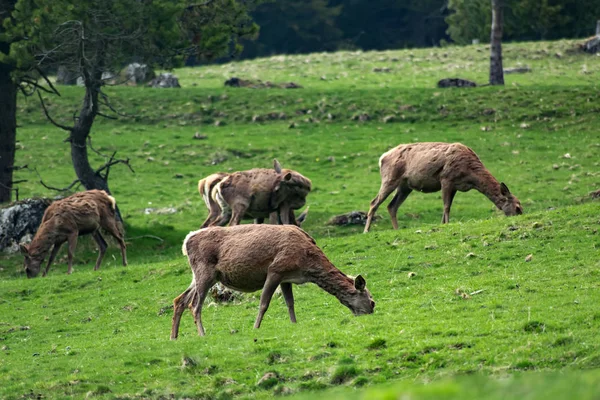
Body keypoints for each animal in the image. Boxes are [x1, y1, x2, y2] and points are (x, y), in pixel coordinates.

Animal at [170, 223, 376, 340]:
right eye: (372, 301)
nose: (370, 313)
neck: (306, 264)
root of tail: (186, 241)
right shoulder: (275, 270)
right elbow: (264, 303)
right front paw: (255, 328)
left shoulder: (287, 278)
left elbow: (290, 303)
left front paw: (294, 324)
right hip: (204, 272)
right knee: (194, 305)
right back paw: (202, 334)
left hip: (202, 276)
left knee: (180, 300)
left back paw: (174, 337)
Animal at [364, 142, 524, 233]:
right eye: (517, 208)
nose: (521, 216)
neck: (470, 175)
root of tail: (382, 158)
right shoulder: (446, 179)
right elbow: (446, 206)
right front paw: (447, 224)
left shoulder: (455, 186)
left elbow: (447, 206)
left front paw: (442, 224)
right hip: (390, 178)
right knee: (374, 202)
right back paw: (366, 230)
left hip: (405, 186)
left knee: (392, 206)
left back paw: (396, 230)